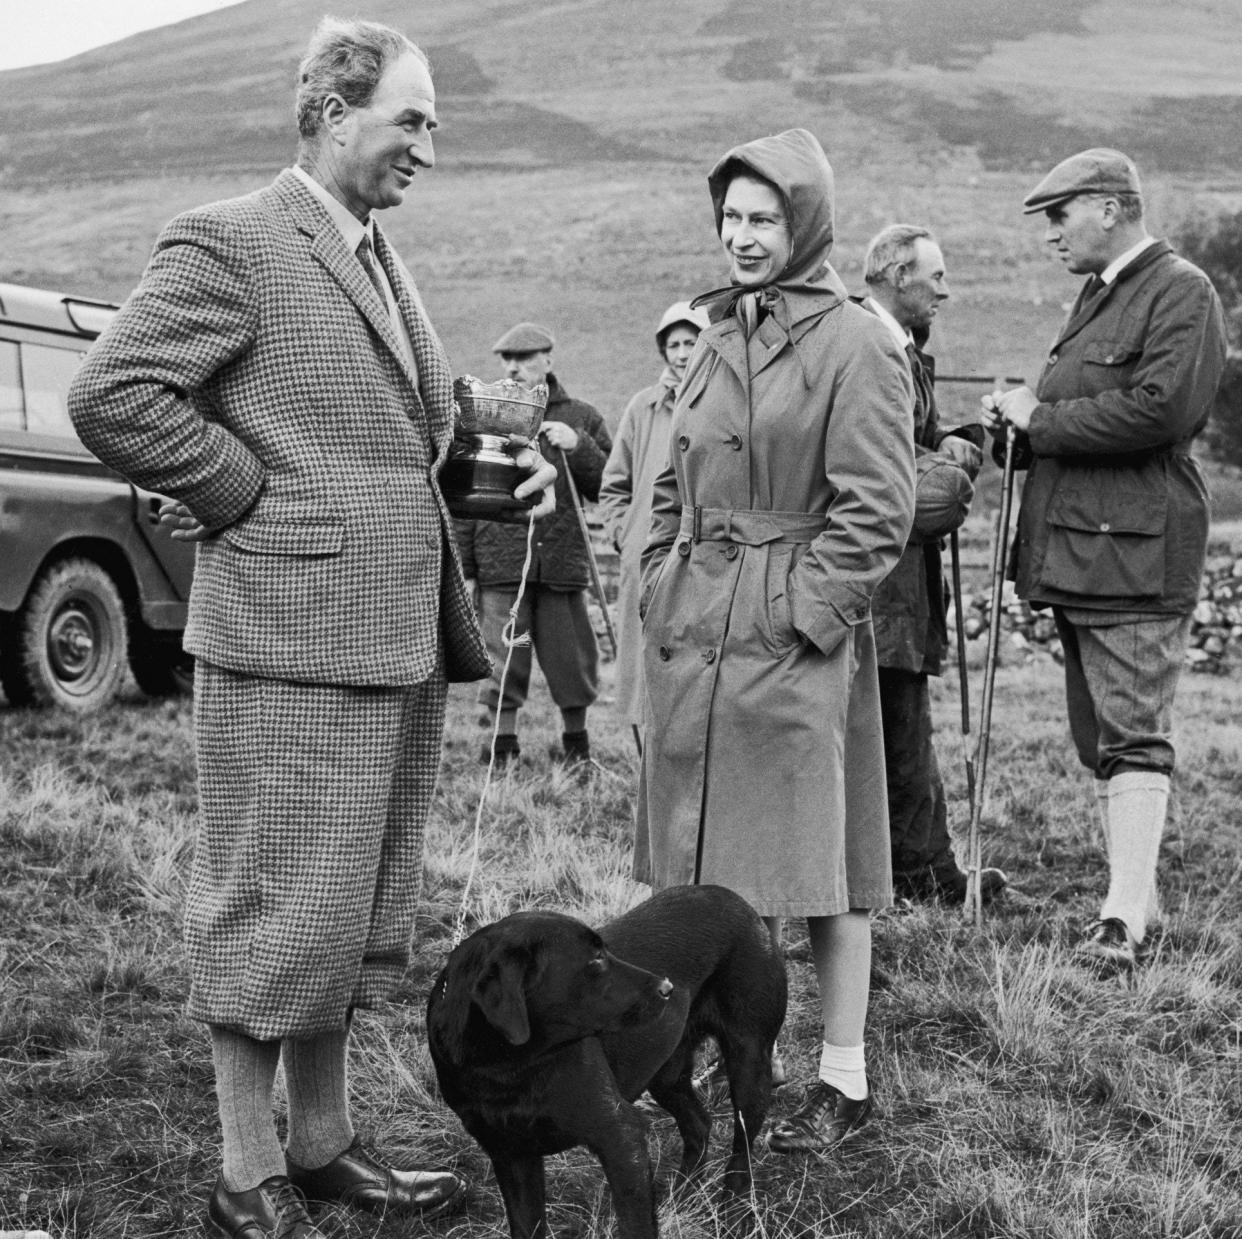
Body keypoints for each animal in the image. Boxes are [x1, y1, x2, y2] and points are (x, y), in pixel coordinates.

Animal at [427, 883, 784, 1239]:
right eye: (596, 959)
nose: (668, 987)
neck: (506, 1069)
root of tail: (736, 899)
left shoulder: (621, 1139)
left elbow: (637, 1226)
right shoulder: (512, 1156)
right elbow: (527, 1227)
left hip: (749, 1065)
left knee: (741, 1154)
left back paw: (733, 1215)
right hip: (666, 1076)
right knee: (699, 1124)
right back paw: (682, 1195)